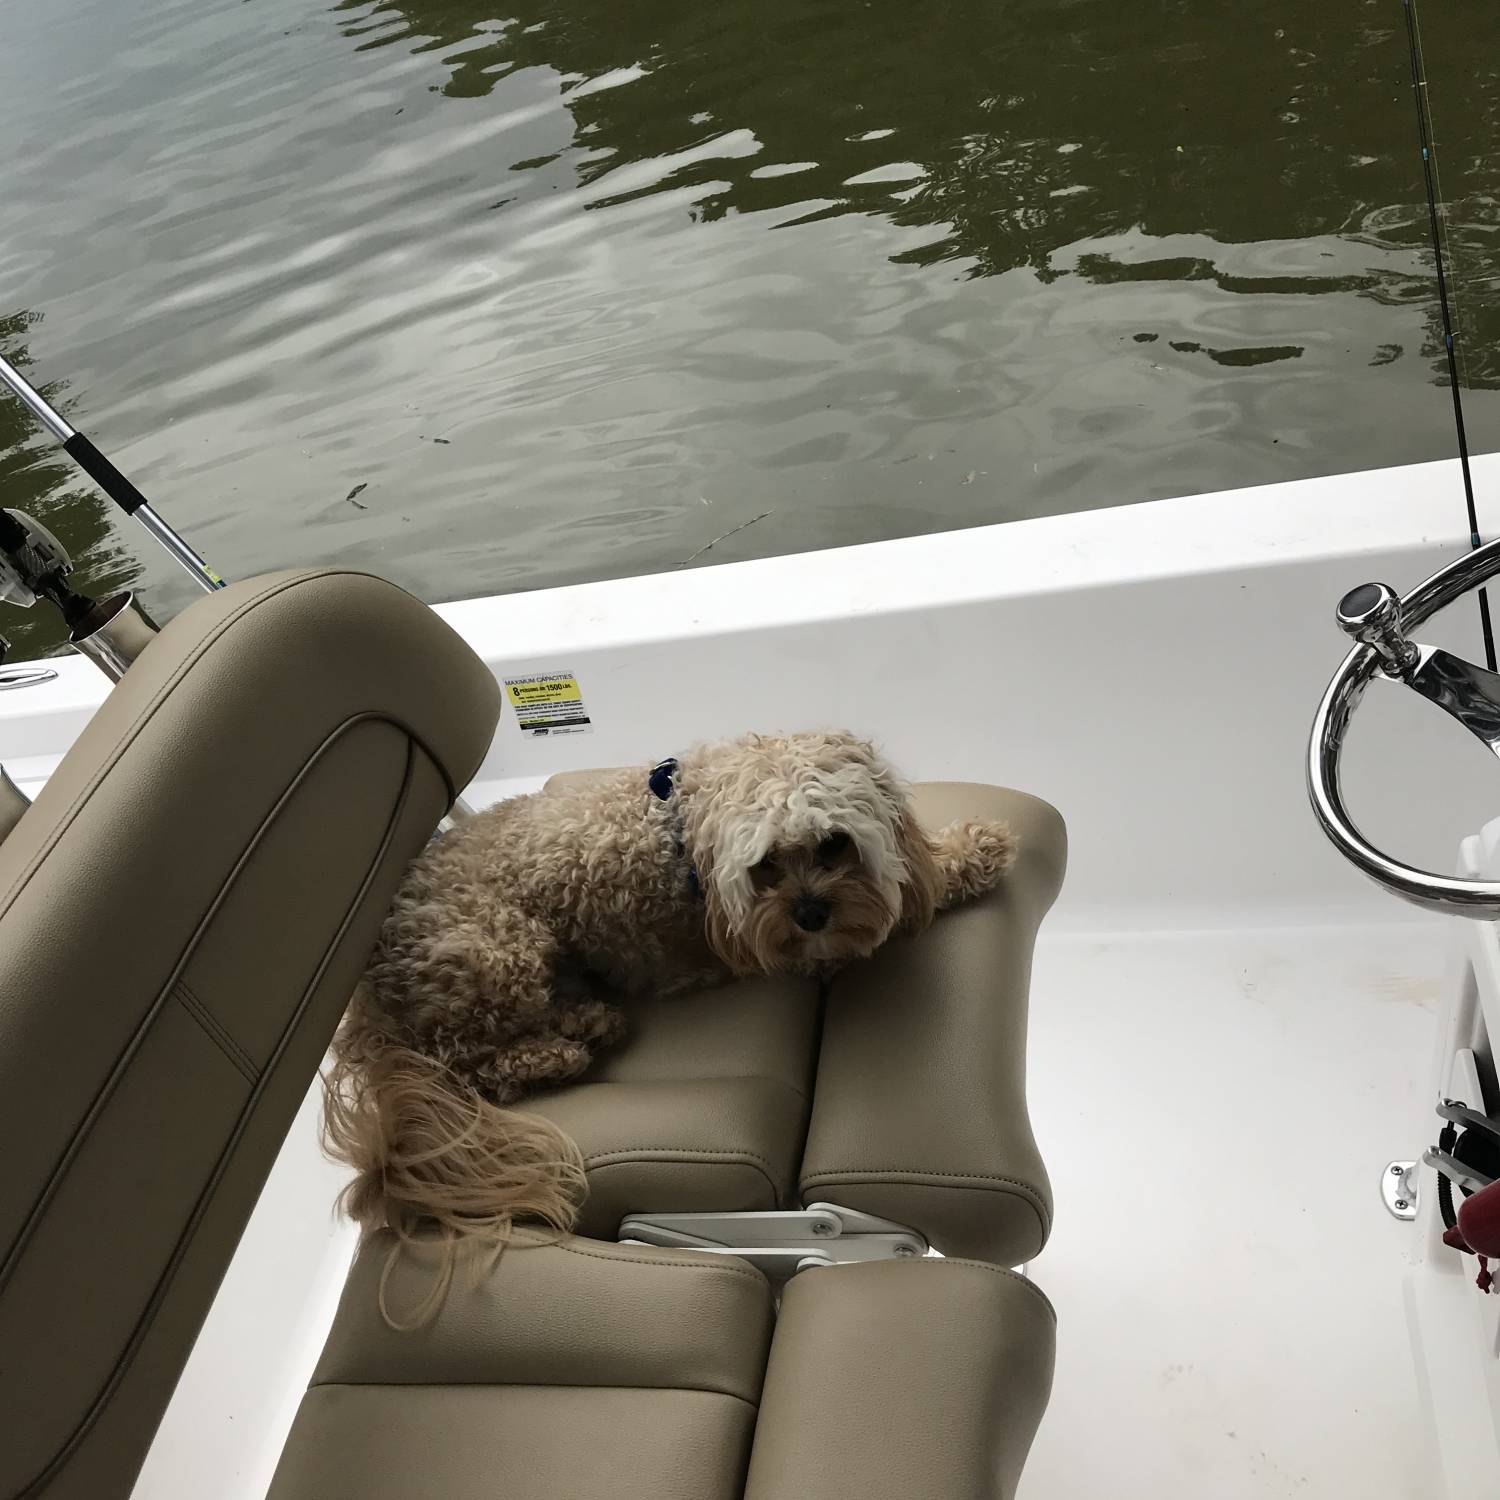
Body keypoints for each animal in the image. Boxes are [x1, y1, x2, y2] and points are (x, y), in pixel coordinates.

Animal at [324, 732, 1014, 1320]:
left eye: (834, 843)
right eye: (767, 862)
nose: (812, 912)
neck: (684, 832)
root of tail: (368, 997)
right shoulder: (783, 948)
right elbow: (894, 913)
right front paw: (971, 853)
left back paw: (585, 1018)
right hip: (497, 950)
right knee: (469, 1058)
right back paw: (561, 1049)